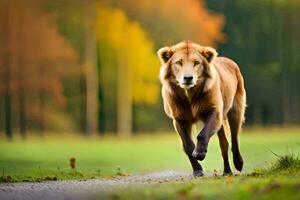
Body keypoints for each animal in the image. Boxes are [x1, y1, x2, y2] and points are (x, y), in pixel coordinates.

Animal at [157, 40, 246, 177]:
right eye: (179, 62)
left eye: (196, 62)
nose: (188, 78)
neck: (189, 94)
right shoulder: (179, 117)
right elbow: (187, 144)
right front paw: (197, 170)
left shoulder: (214, 110)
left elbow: (203, 134)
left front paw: (199, 153)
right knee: (224, 144)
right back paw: (227, 171)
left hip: (236, 106)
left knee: (234, 136)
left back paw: (238, 163)